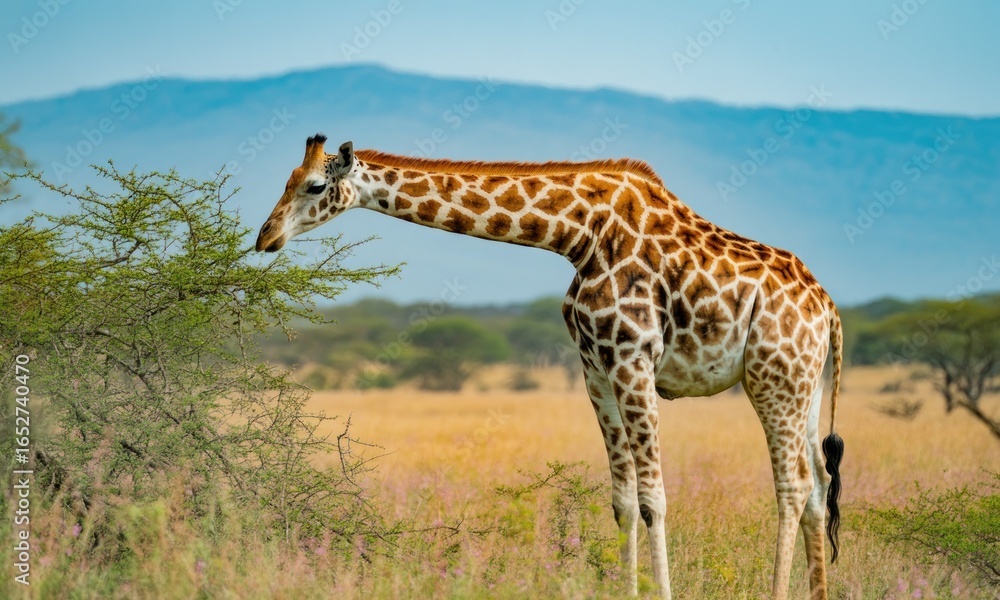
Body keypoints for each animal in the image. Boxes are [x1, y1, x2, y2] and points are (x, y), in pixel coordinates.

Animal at [255, 134, 845, 599]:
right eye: (287, 180)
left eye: (313, 186)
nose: (265, 237)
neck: (579, 234)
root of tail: (830, 310)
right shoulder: (595, 368)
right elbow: (623, 499)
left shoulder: (632, 358)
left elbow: (654, 497)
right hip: (805, 385)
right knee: (818, 484)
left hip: (773, 379)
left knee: (792, 485)